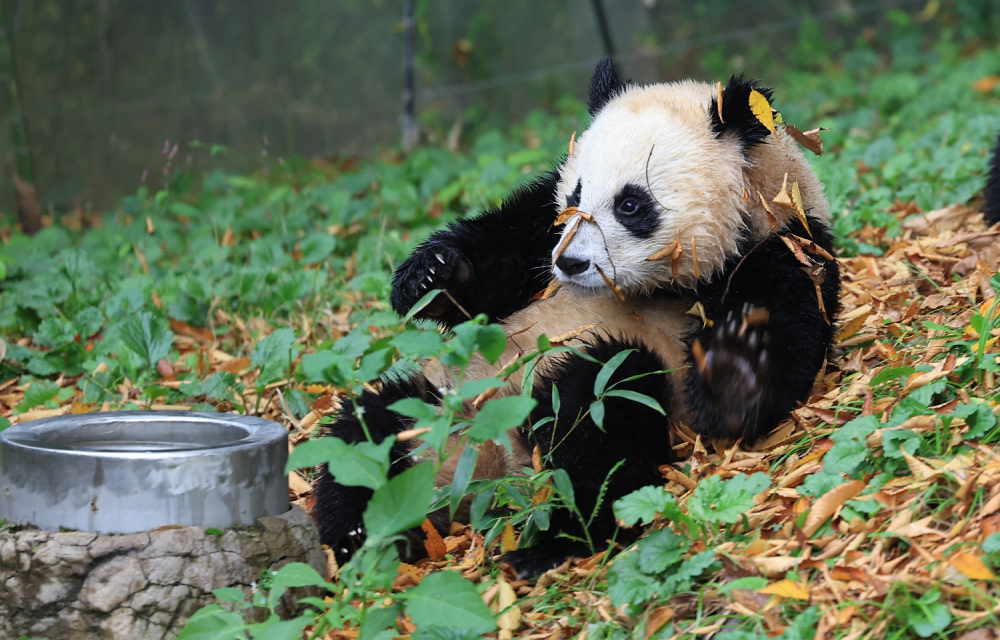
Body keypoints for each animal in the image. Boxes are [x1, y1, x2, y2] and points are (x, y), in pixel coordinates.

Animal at [310, 60, 836, 576]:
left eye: (631, 204)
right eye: (575, 198)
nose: (571, 263)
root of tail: (489, 472)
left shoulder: (787, 246)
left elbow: (785, 345)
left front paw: (735, 364)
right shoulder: (540, 226)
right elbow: (492, 266)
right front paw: (431, 273)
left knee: (605, 409)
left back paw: (554, 538)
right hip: (441, 404)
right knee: (364, 435)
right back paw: (361, 538)